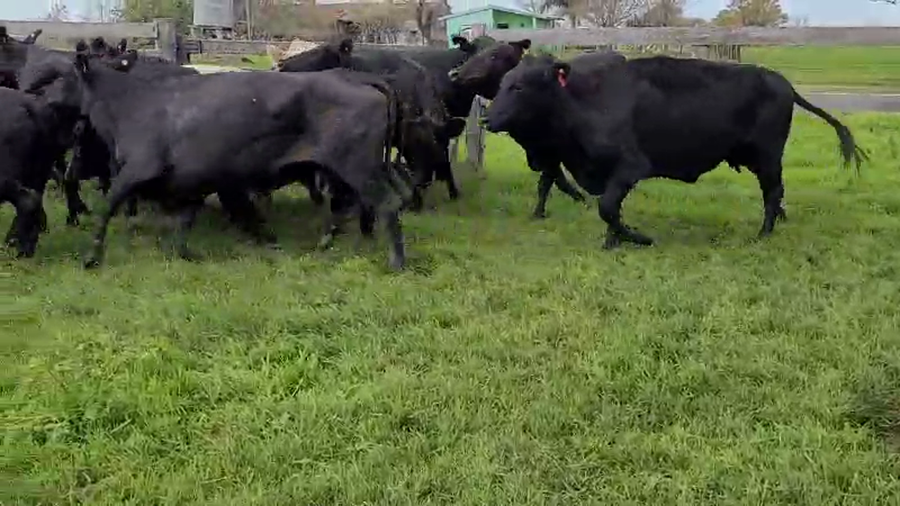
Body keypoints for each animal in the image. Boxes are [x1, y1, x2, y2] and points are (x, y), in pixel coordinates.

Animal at [43, 44, 410, 270]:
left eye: (60, 77)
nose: (40, 95)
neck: (131, 105)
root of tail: (358, 78)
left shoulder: (137, 169)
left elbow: (107, 208)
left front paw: (91, 257)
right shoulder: (191, 179)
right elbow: (184, 222)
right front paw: (185, 253)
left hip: (359, 166)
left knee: (387, 204)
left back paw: (396, 262)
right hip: (370, 166)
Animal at [451, 48, 624, 218]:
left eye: (519, 87)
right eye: (502, 84)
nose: (454, 73)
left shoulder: (554, 154)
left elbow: (549, 182)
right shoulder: (544, 155)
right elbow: (555, 181)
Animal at [480, 53, 868, 247]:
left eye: (519, 86)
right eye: (503, 82)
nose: (485, 117)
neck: (590, 102)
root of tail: (781, 81)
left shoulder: (630, 167)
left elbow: (607, 208)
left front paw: (638, 238)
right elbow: (609, 209)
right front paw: (613, 241)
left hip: (768, 157)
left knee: (772, 193)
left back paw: (762, 235)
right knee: (777, 192)